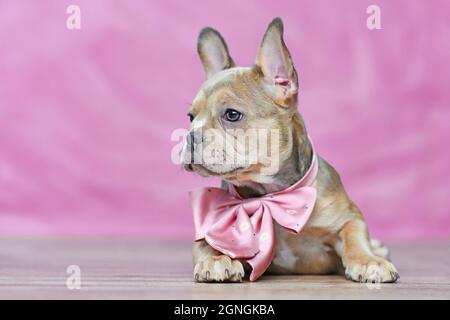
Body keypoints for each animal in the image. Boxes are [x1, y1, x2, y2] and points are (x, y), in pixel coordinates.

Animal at [181, 17, 400, 282]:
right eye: (191, 117)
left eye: (232, 115)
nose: (190, 136)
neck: (269, 196)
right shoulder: (212, 225)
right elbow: (206, 244)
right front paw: (215, 259)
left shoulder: (349, 216)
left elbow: (354, 236)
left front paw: (368, 261)